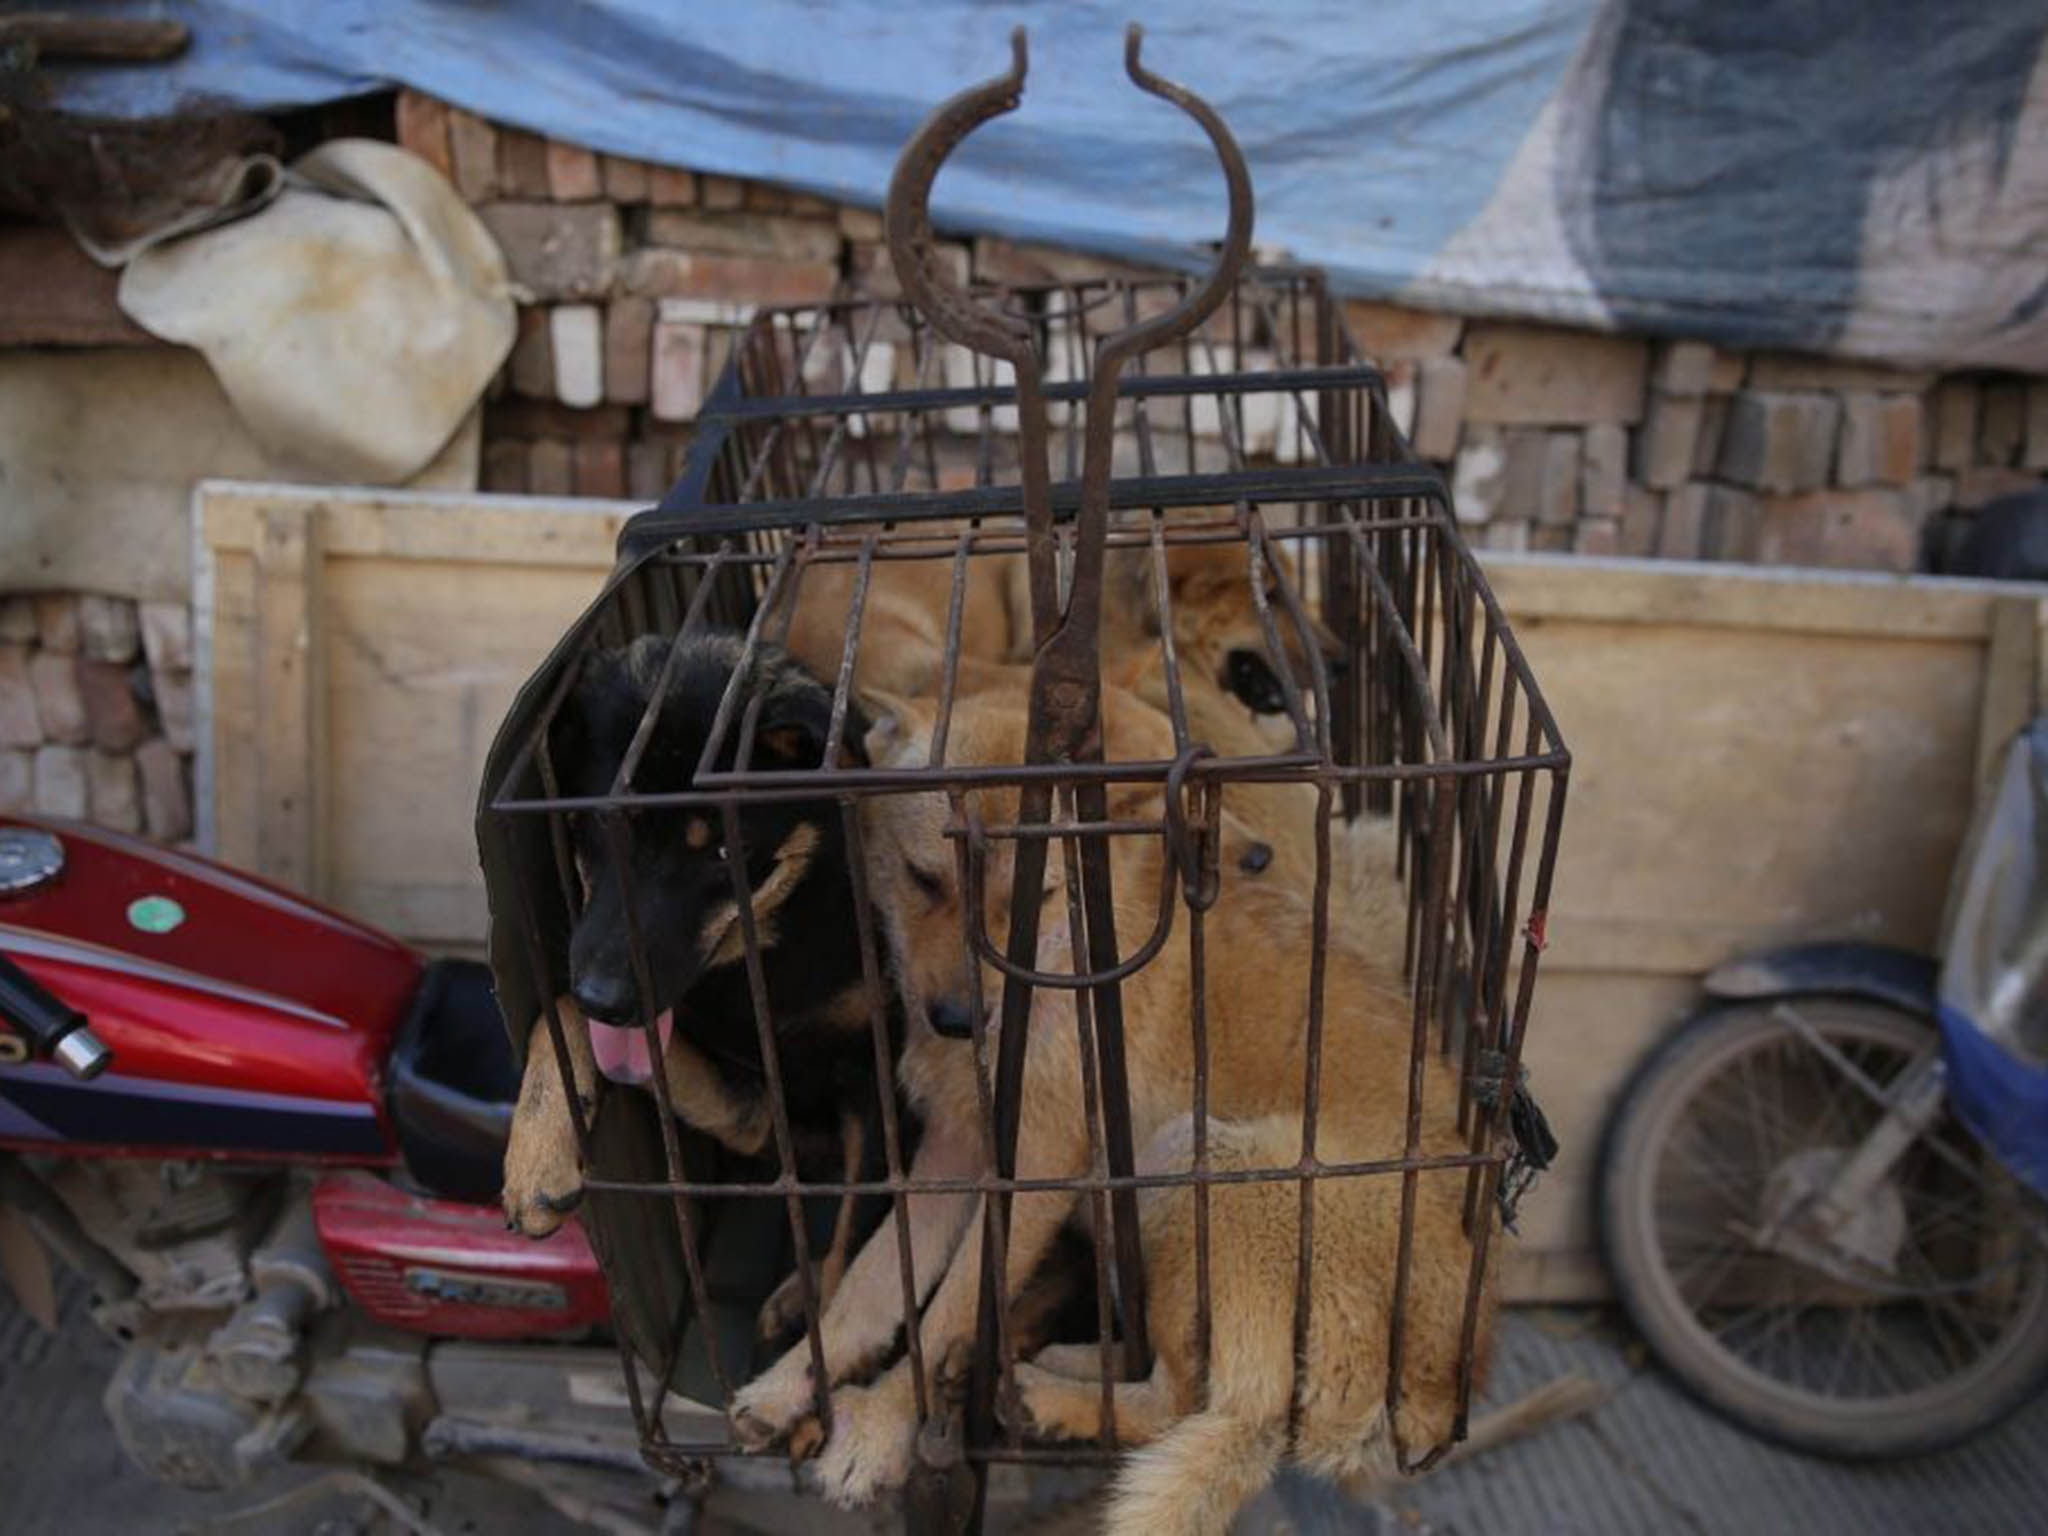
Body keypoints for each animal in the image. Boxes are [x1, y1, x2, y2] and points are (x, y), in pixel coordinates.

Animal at [729, 696, 1499, 1531]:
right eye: (923, 880)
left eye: (1033, 900)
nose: (955, 1018)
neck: (1055, 970)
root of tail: (1436, 1389)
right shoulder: (956, 1148)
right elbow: (868, 1290)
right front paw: (789, 1385)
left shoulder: (1034, 1169)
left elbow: (946, 1314)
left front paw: (879, 1427)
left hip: (1200, 1163)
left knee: (1207, 1402)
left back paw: (1052, 1399)